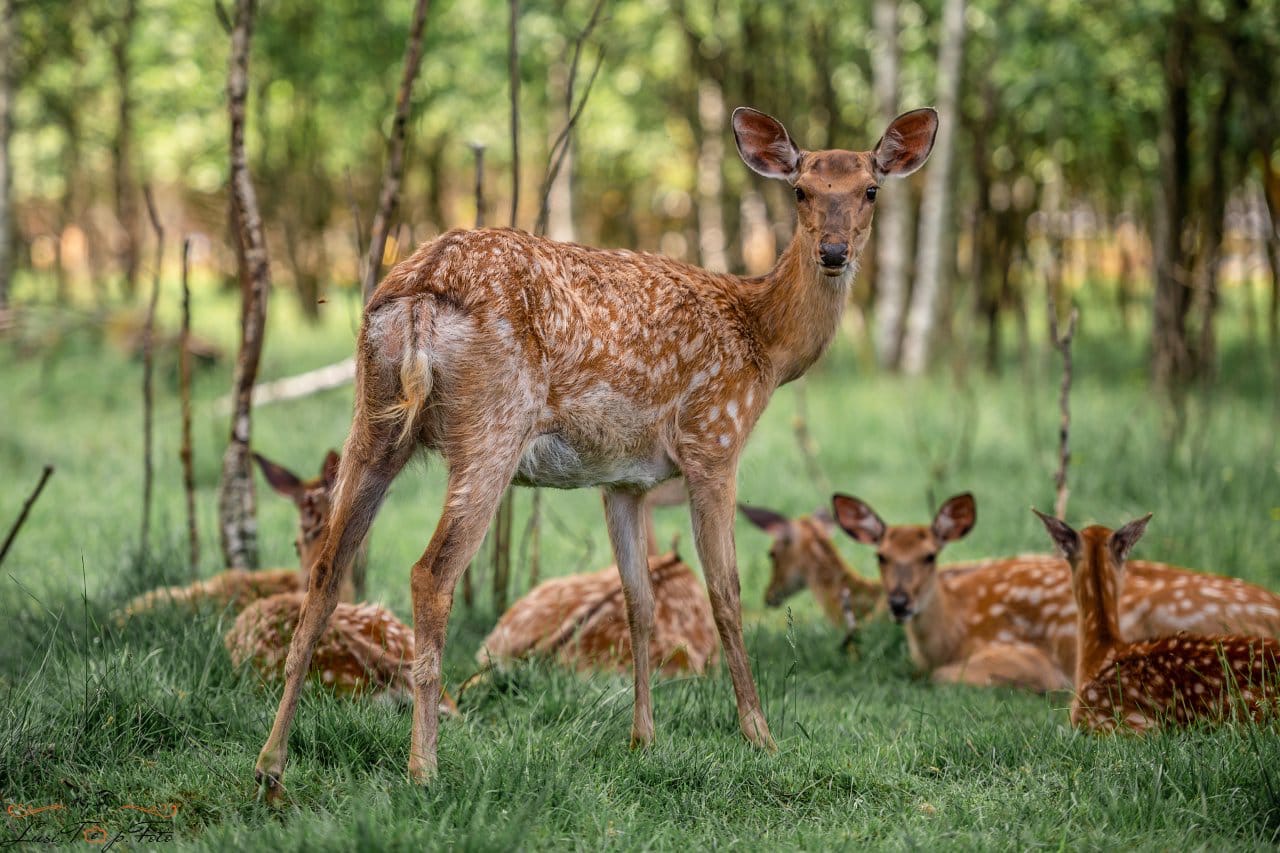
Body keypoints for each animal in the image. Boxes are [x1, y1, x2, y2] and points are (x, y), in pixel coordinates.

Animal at [834, 491, 1280, 691]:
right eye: (880, 556)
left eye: (930, 556)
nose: (899, 603)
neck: (955, 630)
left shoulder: (1020, 651)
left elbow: (945, 676)